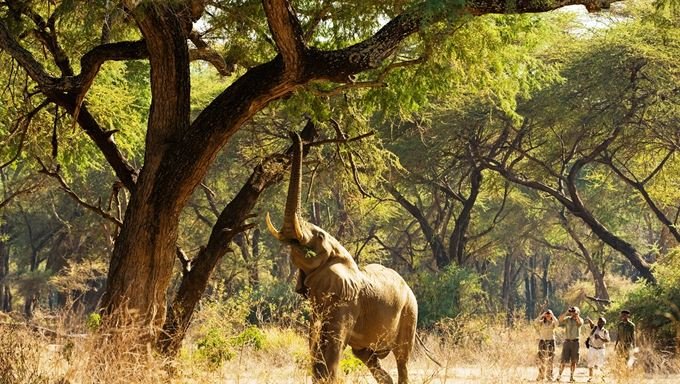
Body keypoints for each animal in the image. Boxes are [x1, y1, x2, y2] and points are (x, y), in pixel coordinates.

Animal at [266, 132, 420, 384]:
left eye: (319, 236)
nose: (295, 134)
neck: (340, 256)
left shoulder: (347, 300)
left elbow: (331, 344)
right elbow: (314, 341)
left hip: (410, 310)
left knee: (402, 358)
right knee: (367, 357)